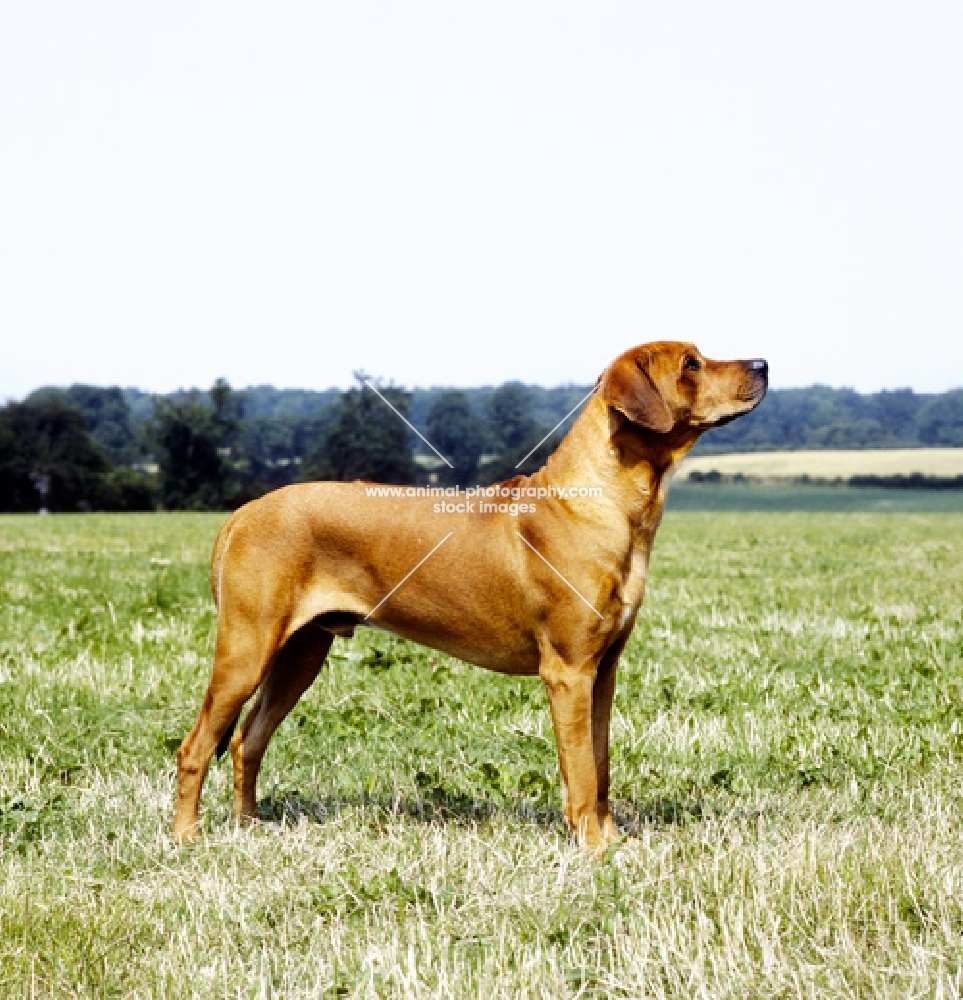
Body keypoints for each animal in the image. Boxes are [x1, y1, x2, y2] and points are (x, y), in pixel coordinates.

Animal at [175, 342, 768, 852]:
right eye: (691, 364)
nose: (763, 363)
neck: (602, 502)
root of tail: (243, 512)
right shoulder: (569, 671)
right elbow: (580, 769)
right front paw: (593, 848)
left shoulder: (603, 669)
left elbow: (599, 765)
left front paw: (611, 839)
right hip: (247, 648)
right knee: (196, 746)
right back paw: (188, 837)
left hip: (301, 653)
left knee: (247, 739)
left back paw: (250, 826)